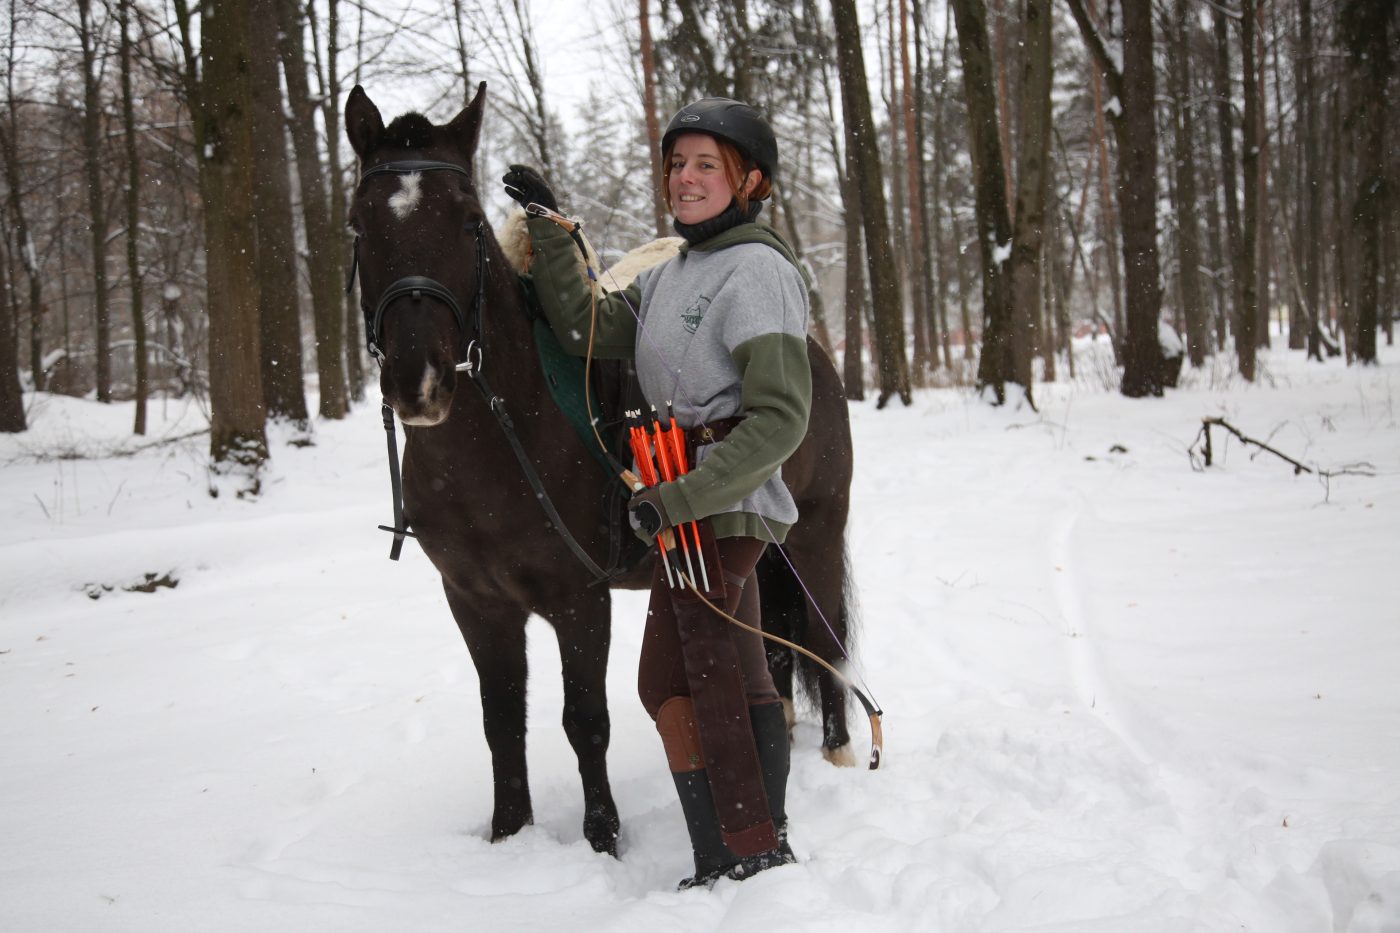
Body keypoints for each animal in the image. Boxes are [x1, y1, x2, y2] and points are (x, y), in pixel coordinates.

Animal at [344, 83, 856, 851]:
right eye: (359, 223)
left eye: (466, 220)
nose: (418, 379)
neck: (499, 446)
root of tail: (813, 353)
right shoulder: (476, 603)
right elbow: (503, 721)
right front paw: (509, 834)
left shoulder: (577, 599)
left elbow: (584, 720)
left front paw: (603, 838)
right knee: (770, 654)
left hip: (817, 538)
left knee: (825, 643)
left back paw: (839, 753)